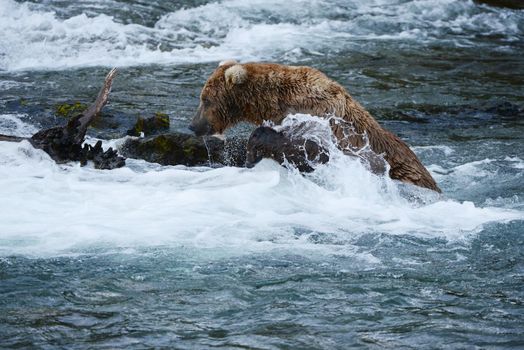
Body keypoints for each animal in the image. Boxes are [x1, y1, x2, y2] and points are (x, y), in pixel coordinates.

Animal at [190, 60, 440, 191]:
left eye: (205, 99)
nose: (193, 126)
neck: (278, 102)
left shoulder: (321, 119)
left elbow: (306, 150)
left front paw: (253, 150)